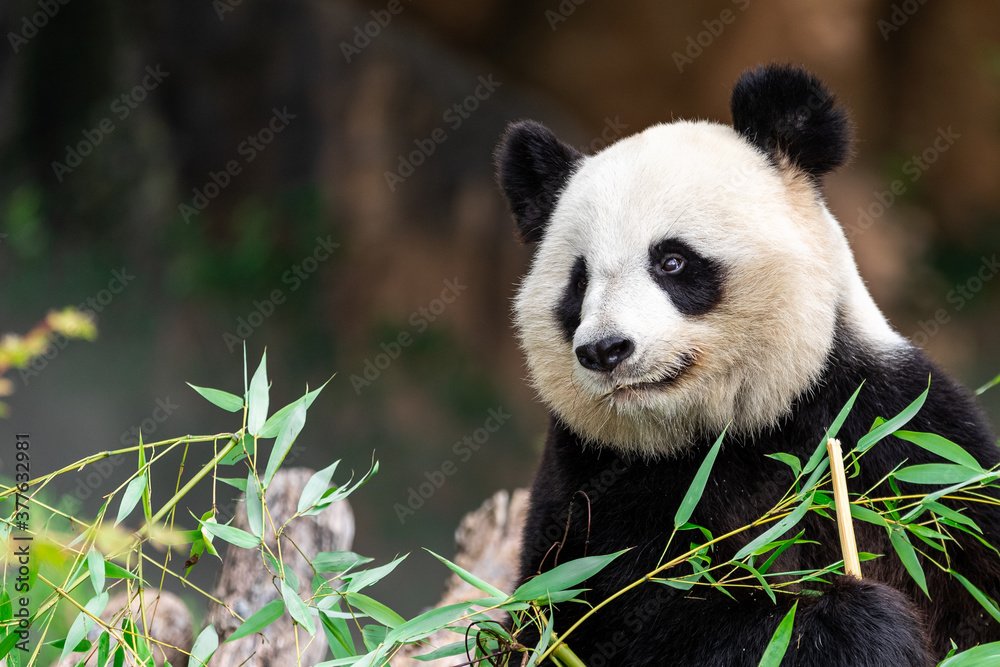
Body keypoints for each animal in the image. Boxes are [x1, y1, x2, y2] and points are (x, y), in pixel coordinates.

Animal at [494, 64, 1000, 666]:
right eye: (579, 282)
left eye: (672, 261)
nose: (604, 349)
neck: (727, 430)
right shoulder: (591, 480)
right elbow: (610, 618)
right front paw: (857, 629)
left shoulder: (894, 428)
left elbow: (970, 563)